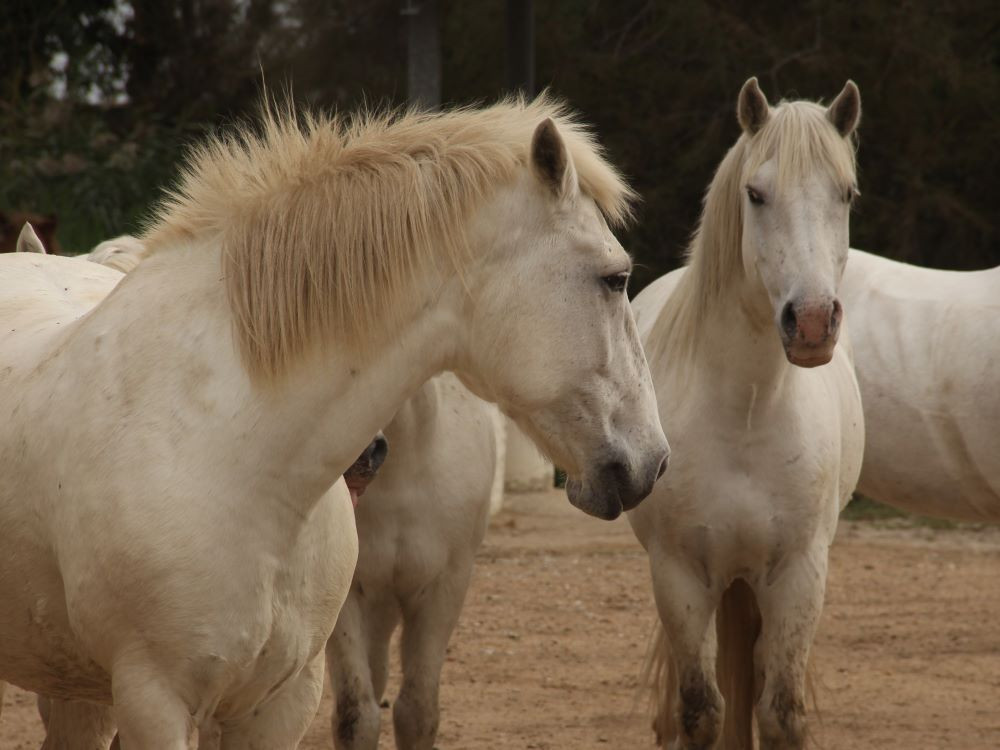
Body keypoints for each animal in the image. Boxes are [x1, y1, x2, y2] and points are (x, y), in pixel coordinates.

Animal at [628, 79, 864, 748]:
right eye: (756, 195)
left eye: (846, 194)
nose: (810, 322)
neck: (747, 413)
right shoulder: (680, 576)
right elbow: (702, 712)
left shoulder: (799, 576)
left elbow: (779, 712)